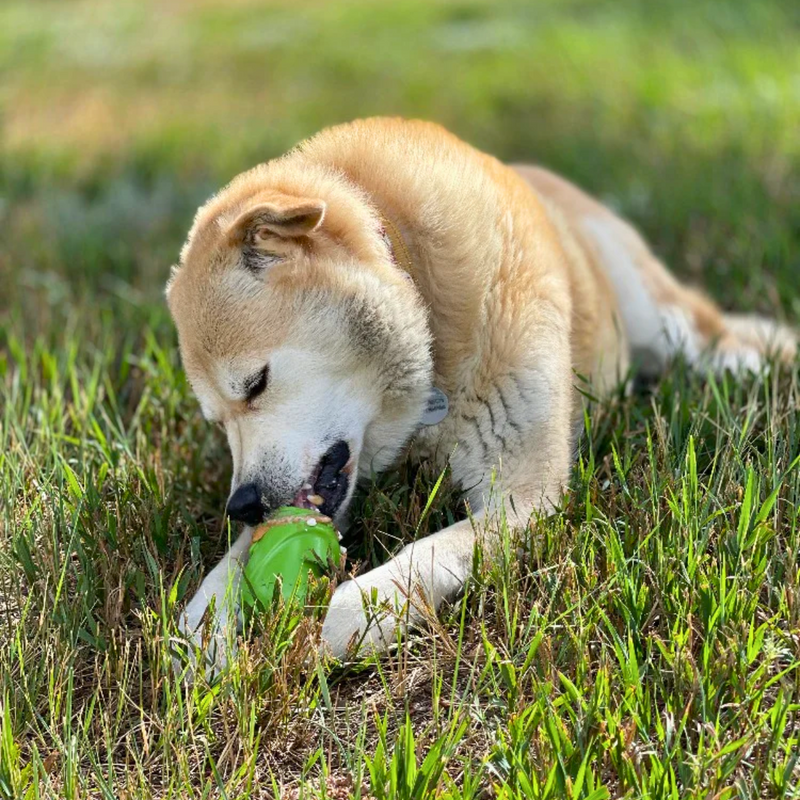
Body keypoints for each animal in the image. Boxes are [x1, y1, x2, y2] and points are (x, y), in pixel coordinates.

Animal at [166, 115, 796, 672]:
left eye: (255, 384)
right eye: (217, 421)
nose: (241, 504)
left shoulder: (525, 492)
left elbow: (420, 560)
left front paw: (348, 619)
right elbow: (230, 567)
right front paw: (206, 627)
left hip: (662, 318)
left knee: (712, 335)